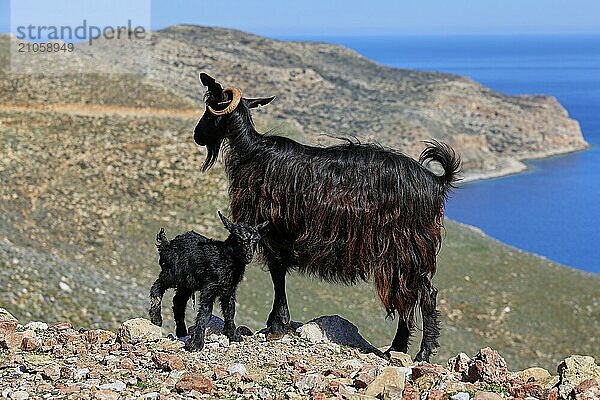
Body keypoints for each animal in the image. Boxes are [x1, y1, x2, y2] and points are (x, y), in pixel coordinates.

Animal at [192, 72, 460, 362]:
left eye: (209, 108)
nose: (197, 135)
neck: (253, 152)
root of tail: (436, 181)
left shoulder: (272, 231)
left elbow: (277, 274)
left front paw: (276, 324)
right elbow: (279, 273)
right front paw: (278, 322)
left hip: (407, 248)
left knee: (424, 294)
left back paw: (422, 353)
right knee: (408, 296)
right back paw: (397, 348)